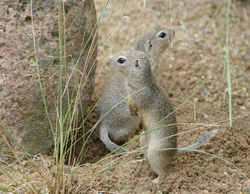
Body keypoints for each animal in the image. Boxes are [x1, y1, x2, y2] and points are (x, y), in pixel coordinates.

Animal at [109, 50, 217, 183]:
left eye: (121, 60)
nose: (108, 63)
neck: (140, 79)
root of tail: (173, 151)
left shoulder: (141, 96)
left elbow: (137, 104)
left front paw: (133, 110)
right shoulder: (129, 93)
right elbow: (129, 102)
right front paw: (131, 111)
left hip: (154, 153)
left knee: (163, 173)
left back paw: (155, 181)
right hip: (142, 139)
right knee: (146, 157)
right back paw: (140, 161)